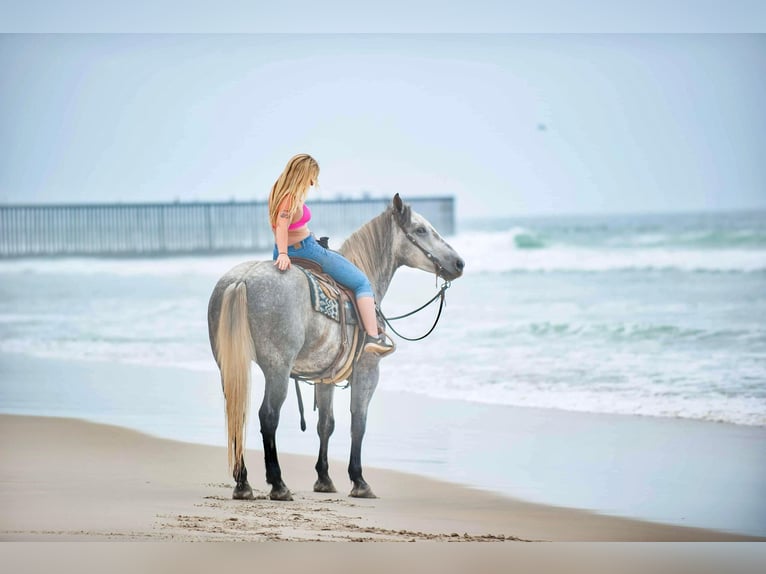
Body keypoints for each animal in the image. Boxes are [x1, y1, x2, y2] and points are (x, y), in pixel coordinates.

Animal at [207, 196, 464, 502]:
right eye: (421, 229)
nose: (459, 263)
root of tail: (242, 279)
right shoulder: (367, 371)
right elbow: (358, 422)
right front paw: (359, 481)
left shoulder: (324, 377)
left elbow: (325, 424)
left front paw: (324, 479)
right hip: (277, 368)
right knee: (267, 416)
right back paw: (278, 484)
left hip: (230, 365)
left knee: (238, 413)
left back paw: (243, 484)